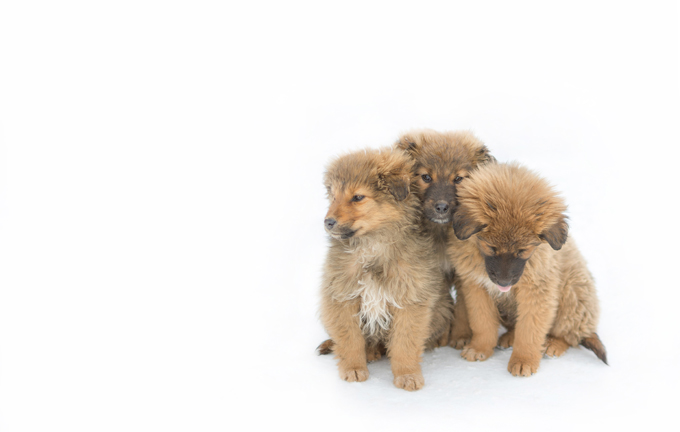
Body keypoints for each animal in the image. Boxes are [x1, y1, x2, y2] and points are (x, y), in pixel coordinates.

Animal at [316, 147, 454, 390]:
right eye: (333, 197)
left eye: (358, 197)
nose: (328, 222)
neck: (372, 246)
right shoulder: (341, 296)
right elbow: (350, 339)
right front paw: (353, 368)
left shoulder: (410, 301)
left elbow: (404, 343)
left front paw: (407, 374)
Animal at [394, 128, 494, 348]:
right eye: (425, 177)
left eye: (458, 179)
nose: (441, 207)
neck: (439, 232)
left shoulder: (462, 271)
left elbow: (464, 307)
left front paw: (461, 336)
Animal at [448, 162, 608, 374]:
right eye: (491, 247)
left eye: (522, 251)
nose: (504, 282)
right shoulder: (476, 287)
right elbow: (483, 322)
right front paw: (480, 348)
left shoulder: (538, 291)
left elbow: (529, 331)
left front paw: (524, 360)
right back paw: (509, 337)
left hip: (573, 293)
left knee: (569, 335)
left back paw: (553, 345)